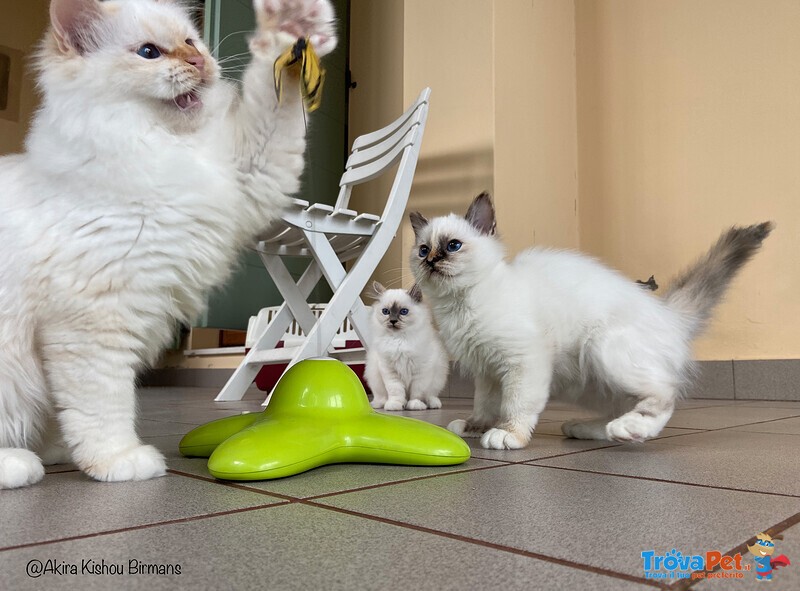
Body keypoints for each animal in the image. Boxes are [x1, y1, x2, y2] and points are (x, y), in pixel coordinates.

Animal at [0, 0, 336, 490]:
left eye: (191, 42)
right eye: (149, 52)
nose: (198, 61)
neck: (165, 148)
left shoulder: (250, 172)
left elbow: (275, 106)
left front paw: (292, 34)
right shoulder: (92, 326)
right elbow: (104, 407)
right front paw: (120, 461)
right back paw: (20, 463)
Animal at [364, 282, 450, 412]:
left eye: (404, 311)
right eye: (386, 311)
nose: (393, 321)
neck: (399, 340)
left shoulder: (421, 371)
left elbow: (417, 393)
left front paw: (415, 405)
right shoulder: (390, 372)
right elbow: (396, 391)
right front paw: (395, 405)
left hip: (438, 378)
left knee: (430, 395)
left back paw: (432, 404)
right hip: (374, 376)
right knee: (381, 397)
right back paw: (381, 404)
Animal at [410, 192, 772, 450]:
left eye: (453, 246)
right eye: (423, 250)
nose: (431, 261)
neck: (461, 304)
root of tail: (666, 311)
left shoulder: (521, 362)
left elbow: (516, 406)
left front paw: (506, 434)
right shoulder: (486, 372)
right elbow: (485, 406)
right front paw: (475, 427)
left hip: (602, 348)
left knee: (664, 395)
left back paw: (630, 429)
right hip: (591, 384)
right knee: (624, 406)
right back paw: (590, 429)